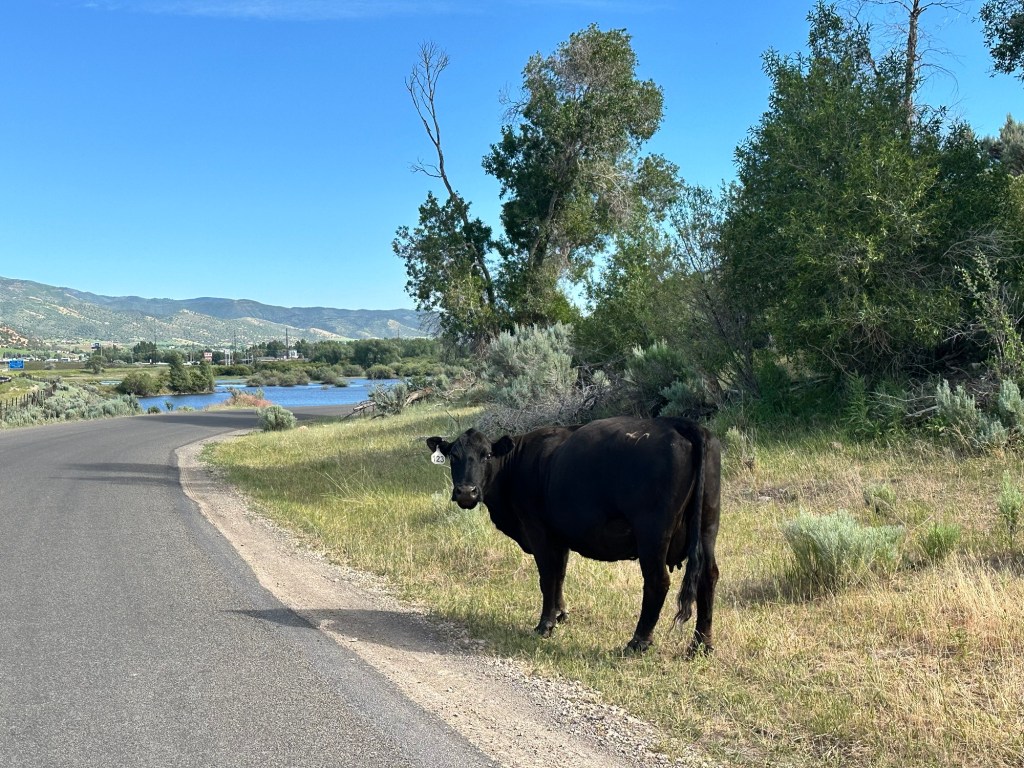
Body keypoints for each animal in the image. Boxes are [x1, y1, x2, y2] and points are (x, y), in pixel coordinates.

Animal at [426, 416, 721, 655]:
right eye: (453, 456)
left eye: (486, 454)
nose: (466, 492)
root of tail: (677, 423)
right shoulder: (560, 536)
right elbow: (560, 574)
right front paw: (561, 614)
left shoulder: (538, 530)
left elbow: (547, 577)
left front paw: (544, 625)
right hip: (707, 526)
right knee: (708, 577)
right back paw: (701, 644)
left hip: (652, 533)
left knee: (658, 582)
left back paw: (638, 641)